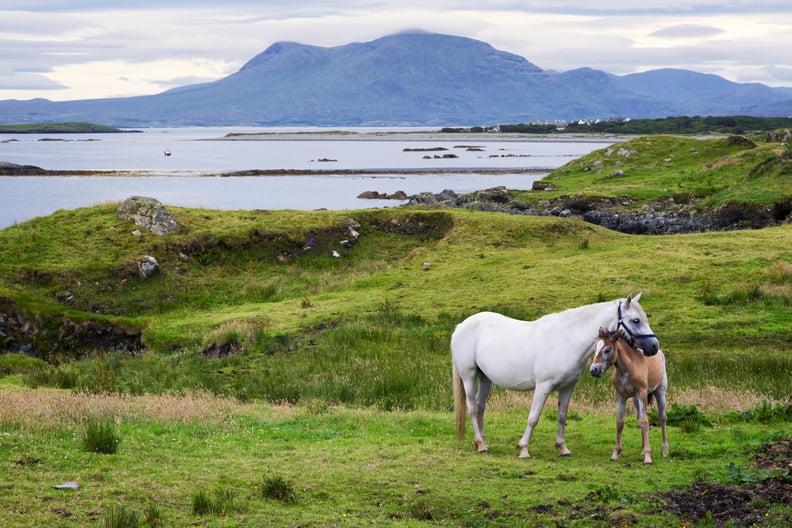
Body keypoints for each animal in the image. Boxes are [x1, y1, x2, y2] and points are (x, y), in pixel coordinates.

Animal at [452, 292, 656, 458]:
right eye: (636, 320)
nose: (654, 346)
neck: (569, 339)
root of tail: (460, 326)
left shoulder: (568, 387)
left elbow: (562, 416)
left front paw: (562, 448)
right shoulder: (543, 386)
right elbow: (533, 417)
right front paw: (523, 448)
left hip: (485, 378)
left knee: (480, 406)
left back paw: (483, 442)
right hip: (469, 375)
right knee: (472, 407)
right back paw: (480, 444)